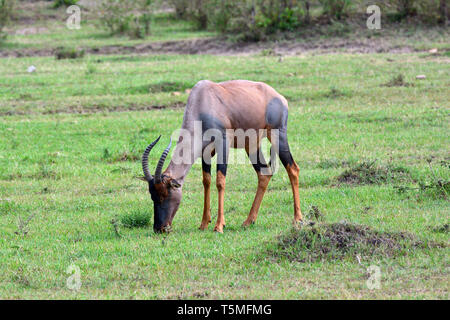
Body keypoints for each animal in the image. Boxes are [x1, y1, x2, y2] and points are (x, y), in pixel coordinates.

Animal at [140, 79, 302, 232]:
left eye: (164, 194)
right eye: (152, 195)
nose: (160, 228)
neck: (203, 99)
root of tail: (279, 97)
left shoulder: (223, 144)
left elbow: (220, 181)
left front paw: (219, 226)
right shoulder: (205, 152)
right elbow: (206, 181)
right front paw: (204, 224)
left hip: (277, 135)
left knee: (293, 168)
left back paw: (297, 220)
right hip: (251, 145)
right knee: (264, 173)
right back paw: (248, 221)